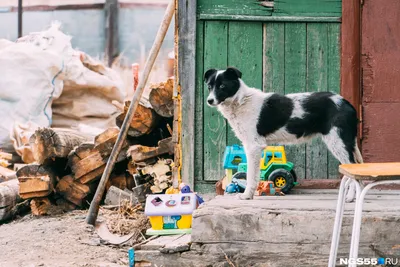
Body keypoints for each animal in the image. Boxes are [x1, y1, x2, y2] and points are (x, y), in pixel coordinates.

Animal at [205, 67, 364, 201]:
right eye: (209, 87)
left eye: (222, 86)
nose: (209, 101)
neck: (241, 100)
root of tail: (347, 104)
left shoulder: (254, 146)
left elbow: (251, 175)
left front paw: (247, 195)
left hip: (338, 143)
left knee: (353, 170)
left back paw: (350, 197)